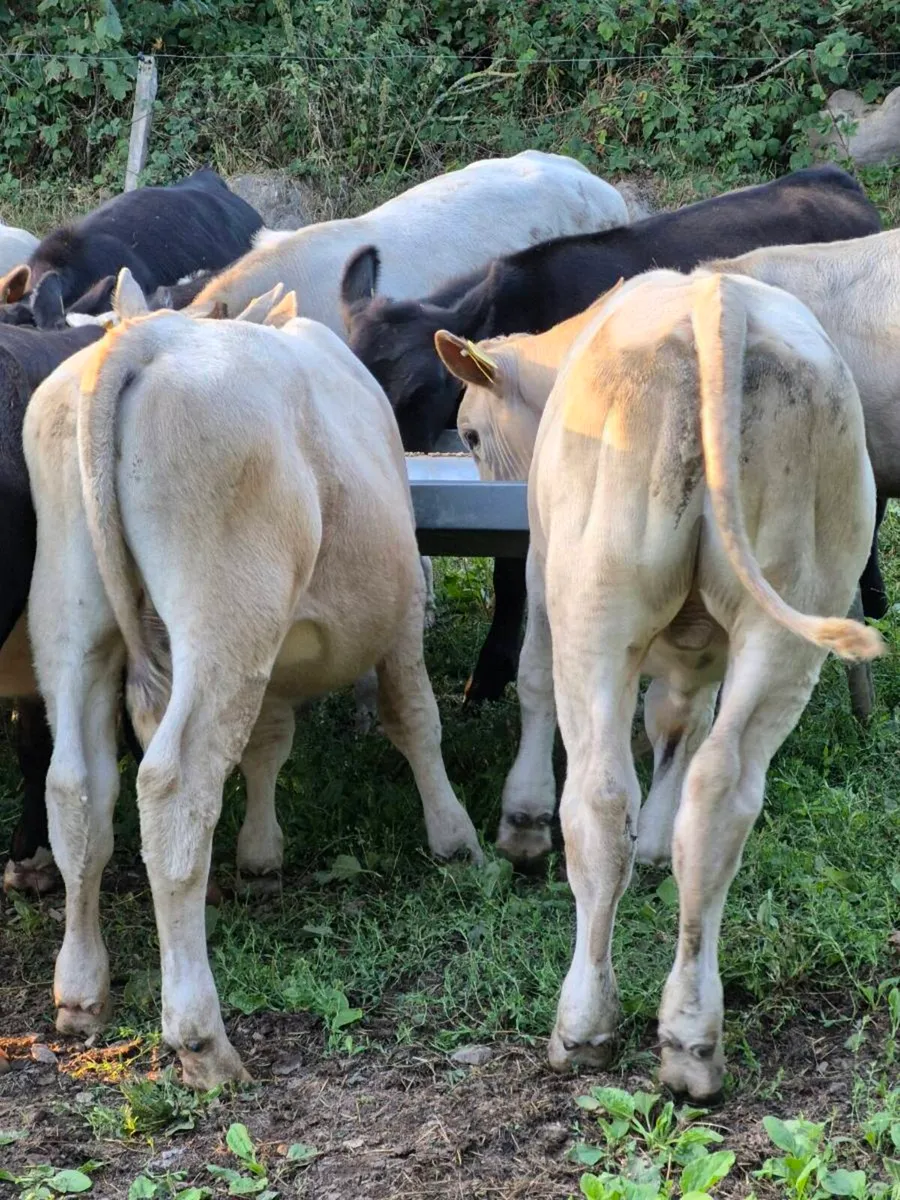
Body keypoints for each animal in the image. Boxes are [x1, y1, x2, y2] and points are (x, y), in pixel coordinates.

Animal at [24, 272, 481, 1088]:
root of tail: (147, 336)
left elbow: (270, 741)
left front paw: (261, 856)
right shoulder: (400, 613)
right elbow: (414, 717)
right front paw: (455, 839)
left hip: (72, 616)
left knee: (76, 789)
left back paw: (80, 991)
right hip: (224, 616)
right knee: (174, 785)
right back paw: (200, 1037)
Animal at [480, 268, 881, 1099]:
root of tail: (717, 296)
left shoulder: (537, 568)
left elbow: (532, 679)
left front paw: (522, 824)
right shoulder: (701, 658)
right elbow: (679, 725)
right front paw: (658, 845)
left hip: (594, 603)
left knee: (599, 798)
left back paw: (585, 1025)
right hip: (791, 615)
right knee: (720, 790)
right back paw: (692, 1038)